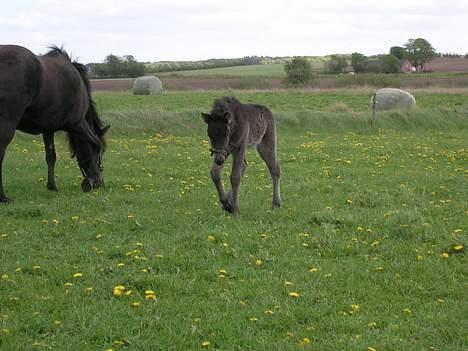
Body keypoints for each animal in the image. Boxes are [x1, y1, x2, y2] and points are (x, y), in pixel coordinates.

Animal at [0, 46, 109, 204]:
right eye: (101, 154)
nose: (100, 184)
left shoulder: (48, 129)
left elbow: (51, 157)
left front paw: (52, 186)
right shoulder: (78, 123)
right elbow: (95, 144)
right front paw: (90, 180)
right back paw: (2, 196)